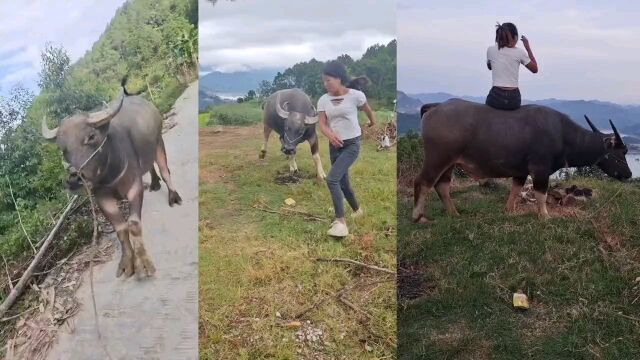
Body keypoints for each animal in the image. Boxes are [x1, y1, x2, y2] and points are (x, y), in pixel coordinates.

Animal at [42, 76, 182, 278]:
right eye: (62, 149)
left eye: (91, 136)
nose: (74, 179)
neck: (109, 172)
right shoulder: (102, 198)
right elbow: (121, 229)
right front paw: (126, 262)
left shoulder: (134, 187)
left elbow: (133, 224)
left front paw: (143, 262)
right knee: (149, 166)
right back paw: (155, 184)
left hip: (158, 141)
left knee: (164, 169)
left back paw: (173, 196)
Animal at [412, 99, 632, 222]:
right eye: (621, 153)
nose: (629, 174)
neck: (563, 134)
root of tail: (435, 107)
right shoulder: (540, 168)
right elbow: (541, 193)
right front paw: (544, 216)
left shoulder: (521, 171)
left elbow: (516, 188)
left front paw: (509, 210)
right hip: (437, 158)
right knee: (423, 182)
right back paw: (418, 217)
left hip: (449, 163)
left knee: (441, 185)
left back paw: (454, 213)